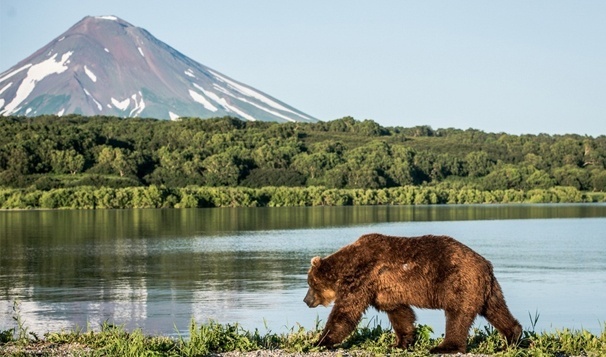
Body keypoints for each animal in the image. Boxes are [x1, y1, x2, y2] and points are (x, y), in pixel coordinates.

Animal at [306, 232, 524, 352]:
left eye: (310, 283)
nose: (306, 300)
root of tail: (486, 264)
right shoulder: (385, 290)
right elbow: (400, 313)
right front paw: (402, 342)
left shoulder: (361, 278)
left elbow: (345, 313)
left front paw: (320, 341)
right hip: (487, 288)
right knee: (496, 309)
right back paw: (512, 336)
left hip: (458, 281)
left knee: (457, 315)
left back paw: (445, 347)